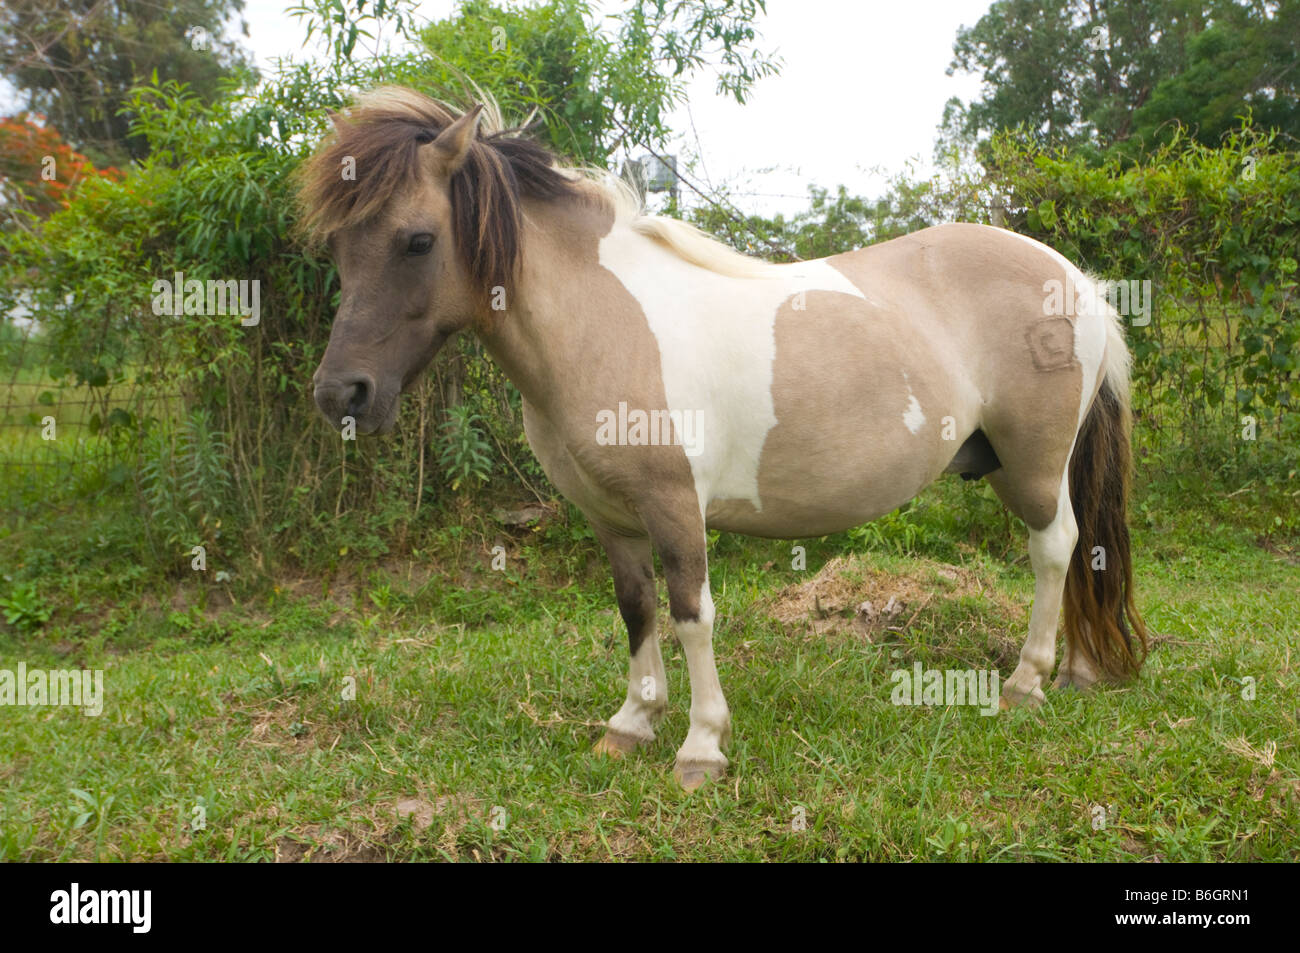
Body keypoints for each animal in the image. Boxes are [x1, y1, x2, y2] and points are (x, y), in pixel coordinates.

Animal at [298, 88, 1148, 790]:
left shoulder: (675, 504)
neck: (605, 321)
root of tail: (1078, 280)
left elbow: (690, 612)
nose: (341, 394)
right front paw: (630, 725)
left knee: (1056, 547)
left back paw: (1026, 682)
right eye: (337, 247)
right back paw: (1075, 672)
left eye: (416, 240)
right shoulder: (610, 516)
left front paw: (701, 746)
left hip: (1032, 466)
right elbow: (636, 608)